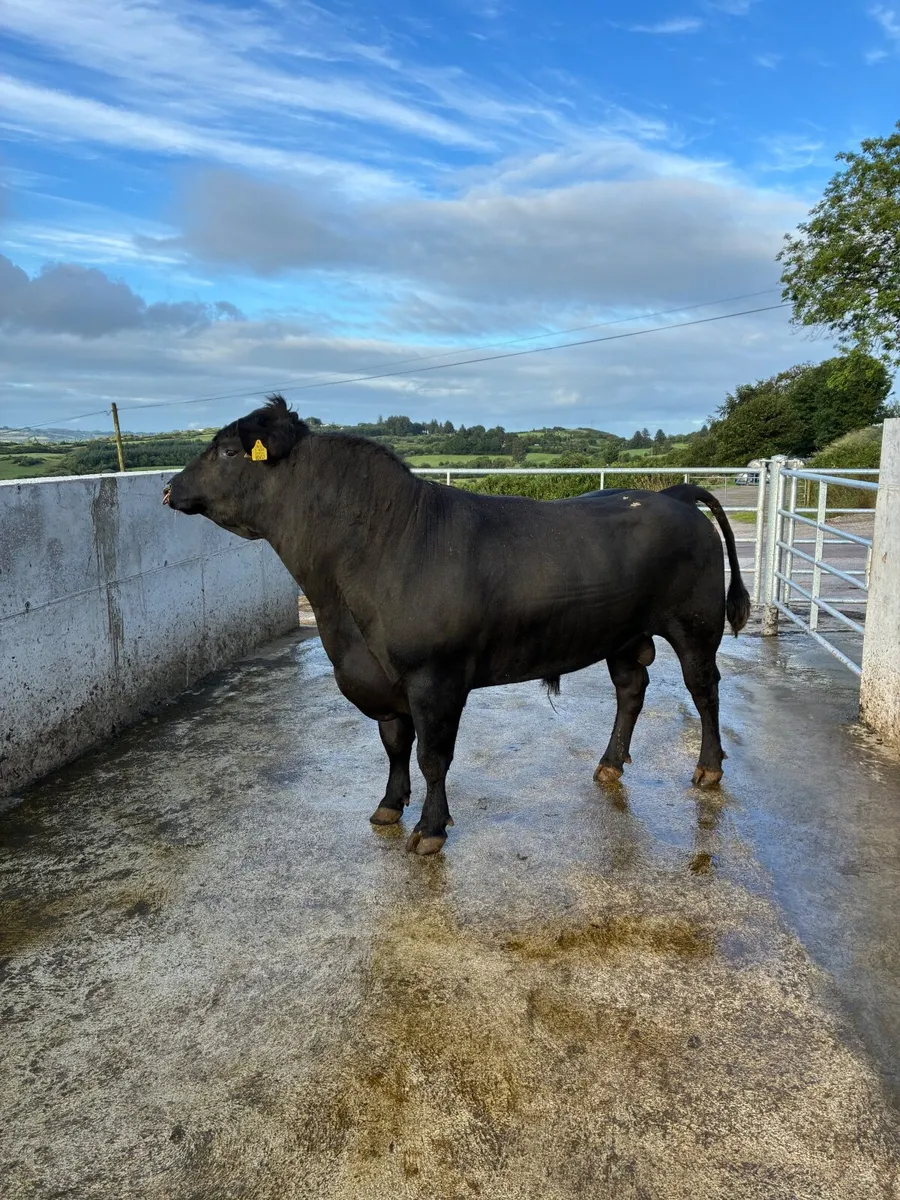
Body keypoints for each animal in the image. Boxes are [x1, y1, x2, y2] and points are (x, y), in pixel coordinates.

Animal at [164, 395, 751, 855]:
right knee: (631, 689)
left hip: (696, 624)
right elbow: (394, 744)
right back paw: (609, 765)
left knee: (704, 690)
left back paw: (709, 768)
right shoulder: (382, 680)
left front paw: (429, 828)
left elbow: (432, 756)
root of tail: (671, 493)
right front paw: (387, 806)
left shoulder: (436, 677)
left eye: (228, 451)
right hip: (624, 634)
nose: (168, 488)